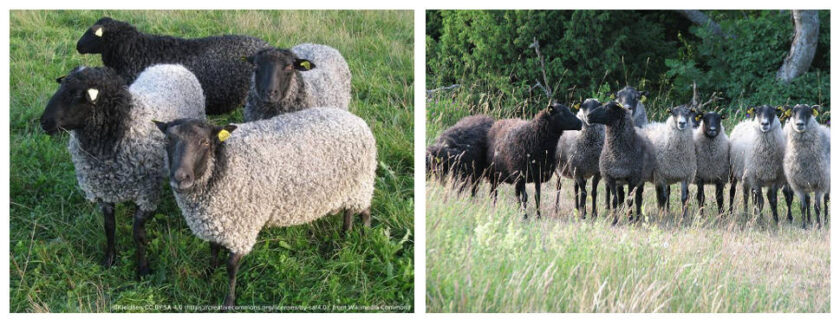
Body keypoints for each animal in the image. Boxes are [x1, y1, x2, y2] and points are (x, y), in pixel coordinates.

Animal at [40, 63, 208, 276]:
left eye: (76, 94)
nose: (44, 122)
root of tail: (173, 65)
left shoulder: (146, 194)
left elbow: (138, 234)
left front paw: (143, 269)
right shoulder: (104, 191)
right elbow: (109, 227)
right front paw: (109, 259)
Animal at [154, 108, 378, 308]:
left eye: (205, 142)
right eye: (167, 141)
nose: (180, 178)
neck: (222, 165)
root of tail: (355, 118)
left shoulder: (241, 228)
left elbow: (231, 267)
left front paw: (228, 301)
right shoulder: (215, 222)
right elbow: (213, 251)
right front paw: (208, 276)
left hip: (362, 184)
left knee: (365, 211)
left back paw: (365, 237)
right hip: (349, 188)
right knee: (348, 211)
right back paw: (344, 237)